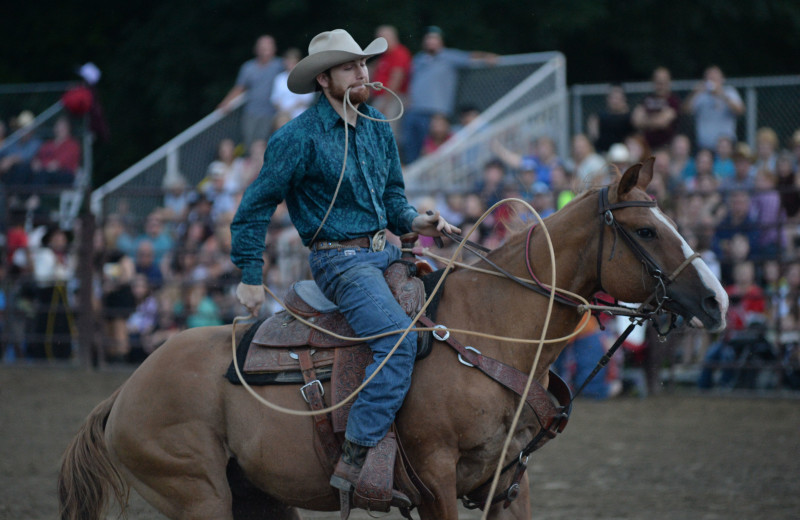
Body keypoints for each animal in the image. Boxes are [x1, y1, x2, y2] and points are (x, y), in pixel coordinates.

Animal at [59, 159, 728, 520]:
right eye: (647, 229)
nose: (717, 300)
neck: (493, 332)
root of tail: (123, 393)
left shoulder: (508, 482)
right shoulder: (434, 477)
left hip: (257, 495)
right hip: (197, 496)